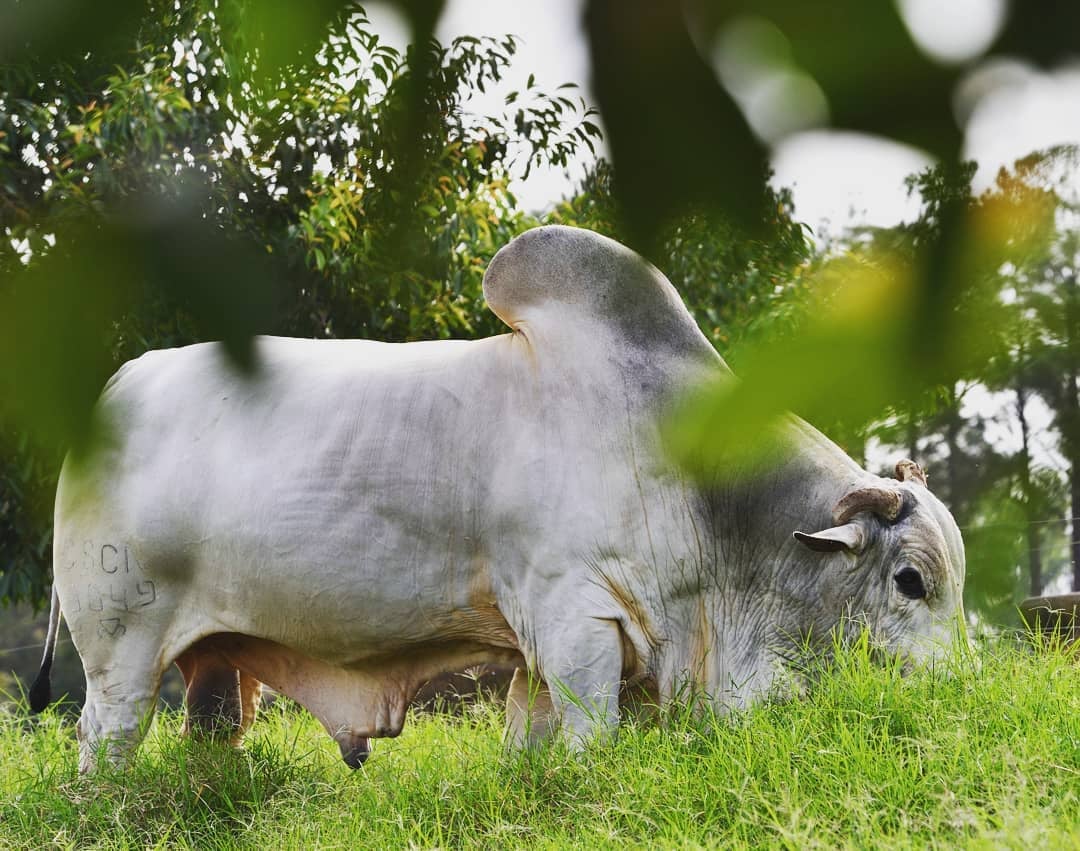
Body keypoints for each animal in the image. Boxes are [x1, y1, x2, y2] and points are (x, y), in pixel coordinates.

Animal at [31, 224, 963, 773]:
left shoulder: (545, 644)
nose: (962, 690)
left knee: (213, 722)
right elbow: (589, 733)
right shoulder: (576, 611)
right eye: (911, 581)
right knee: (106, 737)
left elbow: (531, 737)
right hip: (120, 644)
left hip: (216, 658)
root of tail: (106, 390)